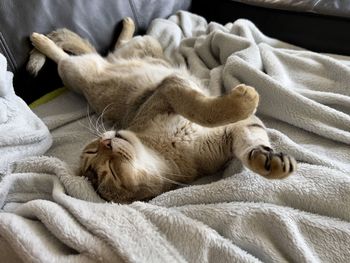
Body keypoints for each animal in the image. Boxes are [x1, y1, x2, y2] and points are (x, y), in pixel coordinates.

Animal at [28, 17, 296, 203]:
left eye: (93, 150)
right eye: (109, 170)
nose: (107, 142)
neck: (168, 150)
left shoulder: (175, 92)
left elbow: (250, 138)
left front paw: (268, 160)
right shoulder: (171, 88)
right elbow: (204, 111)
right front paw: (246, 98)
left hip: (145, 44)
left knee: (114, 47)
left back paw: (126, 24)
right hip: (74, 70)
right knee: (63, 57)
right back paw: (41, 40)